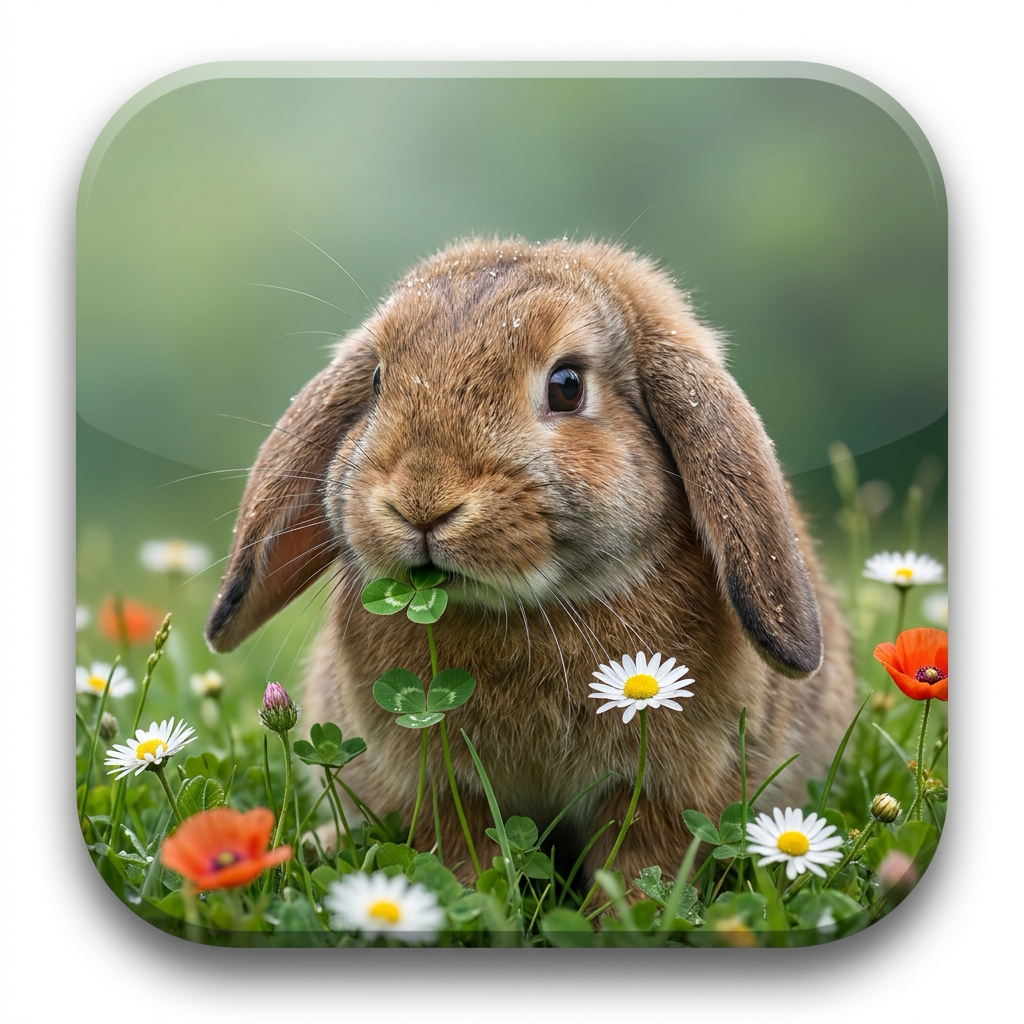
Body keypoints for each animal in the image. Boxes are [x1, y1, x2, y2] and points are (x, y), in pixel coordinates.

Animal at [205, 237, 855, 887]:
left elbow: (640, 862)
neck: (527, 608)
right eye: (376, 378)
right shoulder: (440, 785)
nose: (422, 500)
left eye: (567, 385)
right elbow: (462, 856)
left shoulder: (665, 785)